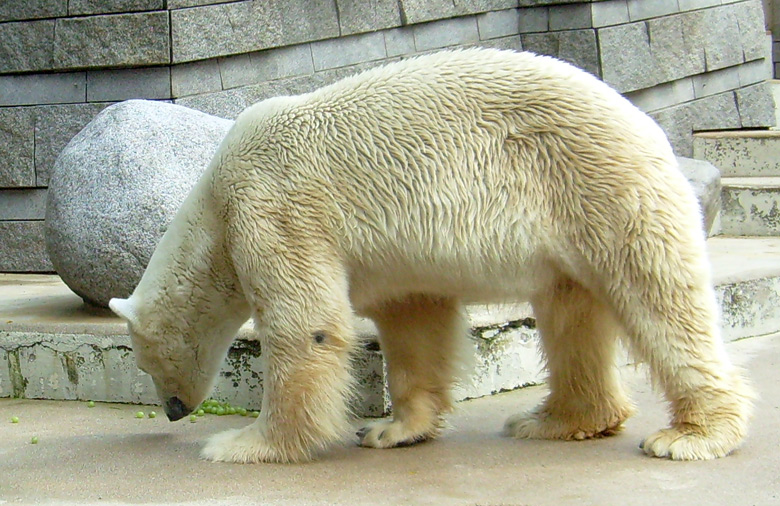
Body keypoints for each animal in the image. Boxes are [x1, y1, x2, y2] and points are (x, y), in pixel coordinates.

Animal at [108, 47, 748, 462]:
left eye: (144, 361)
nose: (172, 411)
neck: (212, 204)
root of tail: (645, 123)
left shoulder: (274, 203)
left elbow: (307, 324)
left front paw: (243, 444)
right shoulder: (397, 261)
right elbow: (413, 319)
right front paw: (392, 430)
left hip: (597, 184)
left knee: (658, 298)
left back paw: (692, 436)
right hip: (573, 218)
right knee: (571, 314)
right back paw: (553, 420)